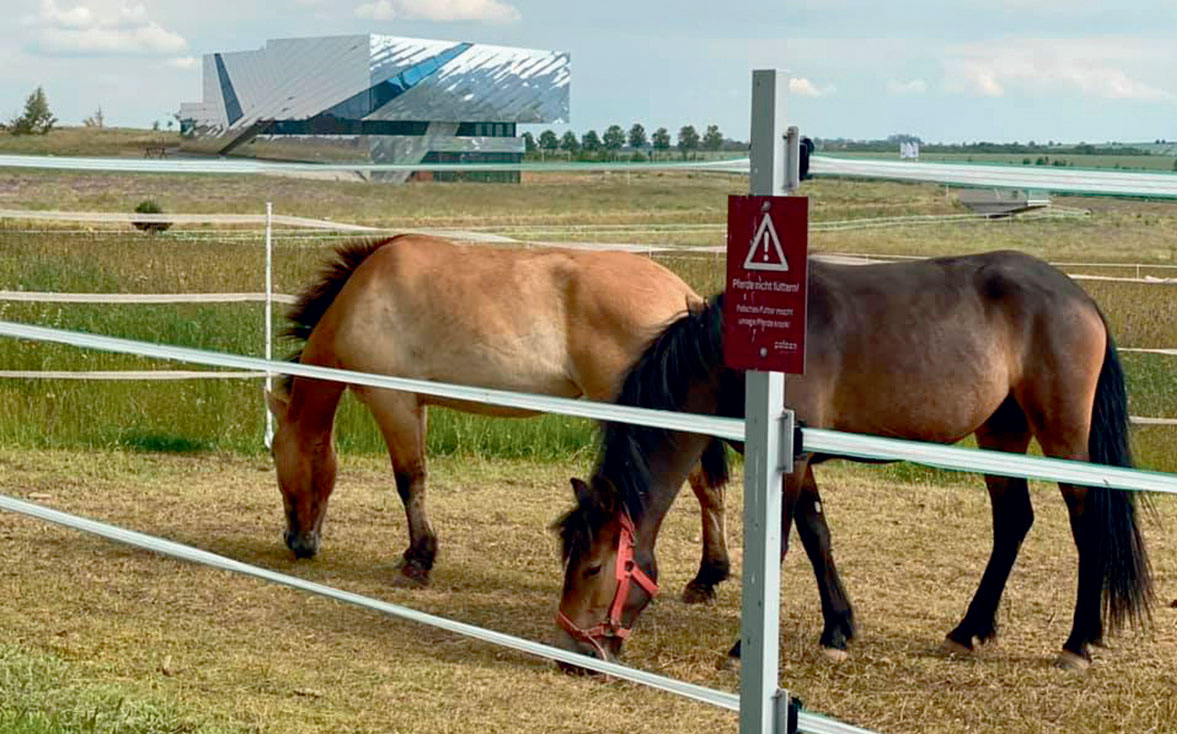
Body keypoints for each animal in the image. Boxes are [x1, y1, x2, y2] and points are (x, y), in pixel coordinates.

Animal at [275, 234, 729, 597]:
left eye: (278, 459)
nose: (297, 542)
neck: (367, 294)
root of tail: (684, 297)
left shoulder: (394, 402)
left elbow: (409, 481)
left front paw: (417, 560)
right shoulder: (417, 406)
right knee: (707, 488)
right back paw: (707, 577)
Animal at [555, 250, 1153, 672]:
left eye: (593, 567)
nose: (570, 654)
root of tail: (1079, 297)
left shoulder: (789, 463)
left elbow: (779, 547)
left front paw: (744, 650)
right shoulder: (800, 462)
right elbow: (818, 537)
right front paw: (837, 632)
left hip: (1062, 435)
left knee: (1086, 521)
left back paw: (1077, 642)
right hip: (1002, 430)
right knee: (1013, 522)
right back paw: (969, 630)